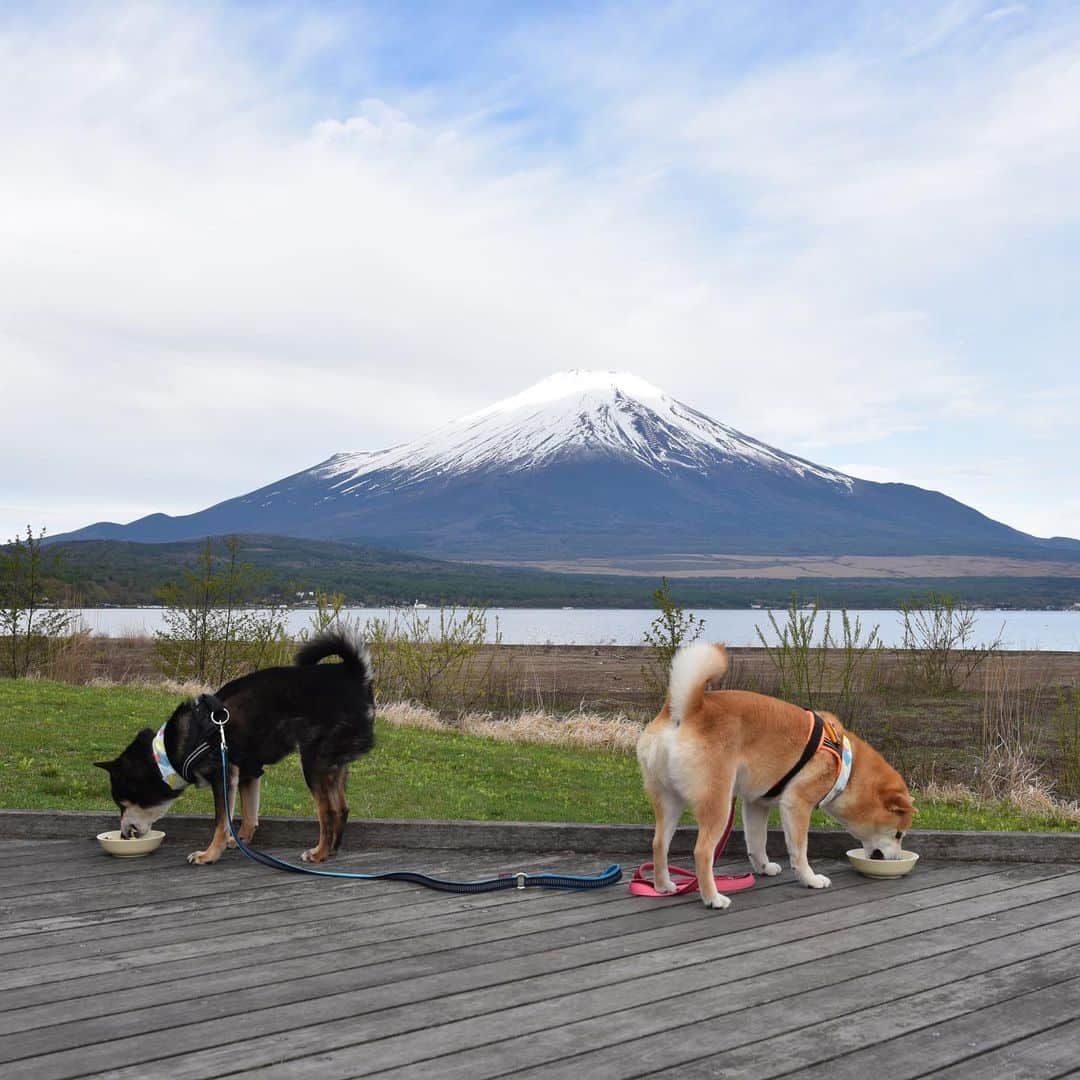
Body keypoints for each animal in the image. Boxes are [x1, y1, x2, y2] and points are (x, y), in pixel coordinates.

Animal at [97, 630, 375, 864]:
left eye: (121, 803)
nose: (124, 835)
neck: (171, 752)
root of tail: (353, 675)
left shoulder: (223, 774)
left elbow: (221, 821)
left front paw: (209, 854)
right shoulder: (248, 773)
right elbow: (248, 815)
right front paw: (239, 840)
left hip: (313, 763)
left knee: (328, 812)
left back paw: (319, 853)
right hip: (334, 765)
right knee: (342, 808)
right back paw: (333, 850)